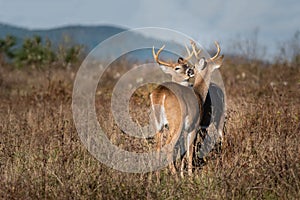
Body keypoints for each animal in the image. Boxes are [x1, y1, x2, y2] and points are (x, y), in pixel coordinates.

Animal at [150, 41, 223, 179]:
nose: (190, 71)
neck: (199, 94)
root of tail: (161, 94)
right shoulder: (193, 126)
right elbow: (190, 150)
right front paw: (189, 175)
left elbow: (184, 151)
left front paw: (184, 173)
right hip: (176, 122)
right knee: (168, 147)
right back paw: (175, 177)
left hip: (158, 124)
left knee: (157, 147)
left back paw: (154, 179)